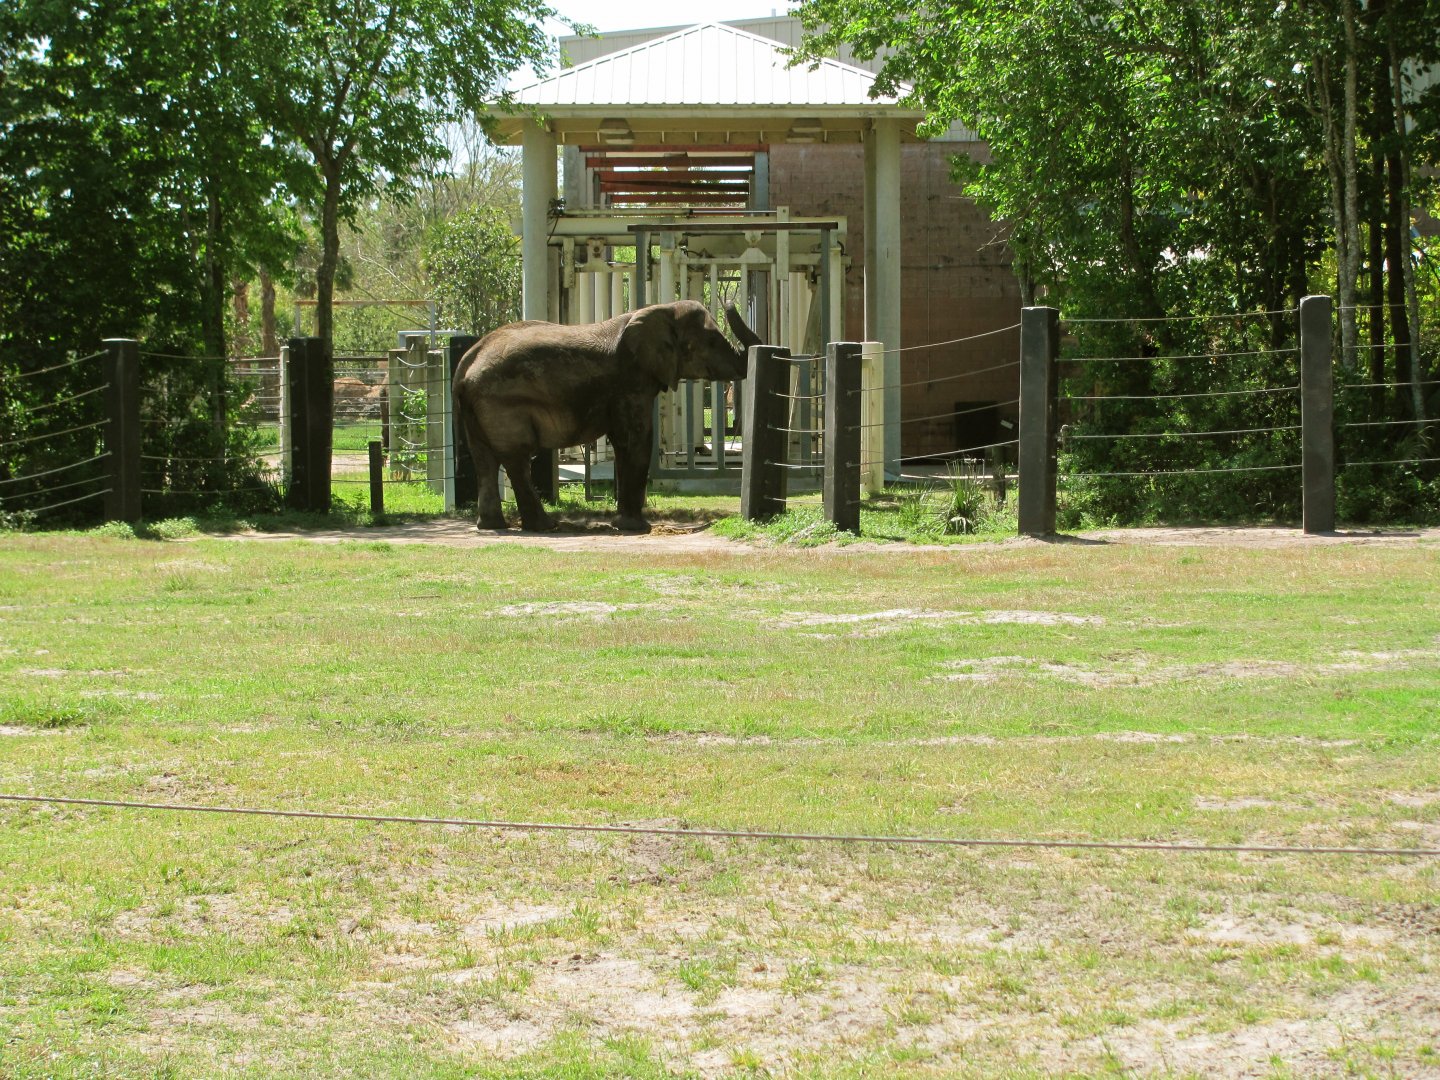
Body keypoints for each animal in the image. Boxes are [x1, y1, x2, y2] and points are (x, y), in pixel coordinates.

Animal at [452, 299, 763, 533]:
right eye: (711, 340)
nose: (732, 302)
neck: (658, 310)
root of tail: (466, 363)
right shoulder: (629, 382)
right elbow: (637, 441)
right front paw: (636, 528)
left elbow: (625, 444)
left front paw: (624, 524)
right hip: (503, 404)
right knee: (516, 458)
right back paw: (544, 526)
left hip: (477, 407)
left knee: (484, 459)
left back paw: (492, 526)